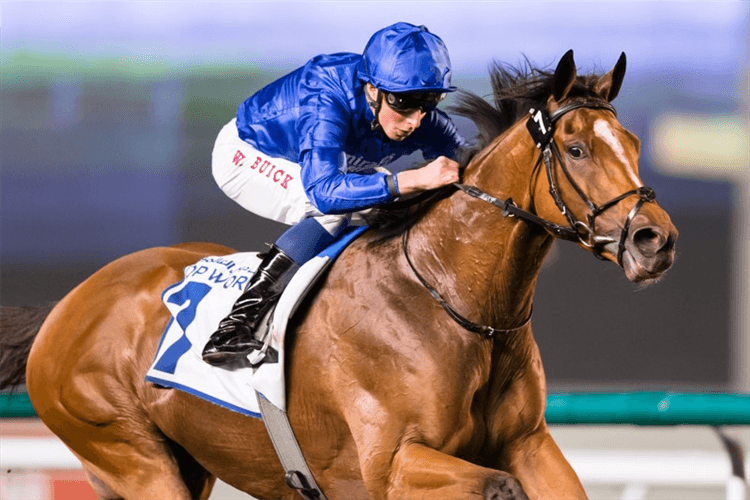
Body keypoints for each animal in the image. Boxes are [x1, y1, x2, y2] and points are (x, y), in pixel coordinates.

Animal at [0, 50, 680, 500]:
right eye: (576, 150)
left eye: (634, 142)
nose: (656, 240)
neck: (454, 302)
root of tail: (69, 304)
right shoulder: (393, 465)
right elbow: (498, 487)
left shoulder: (530, 443)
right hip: (129, 454)